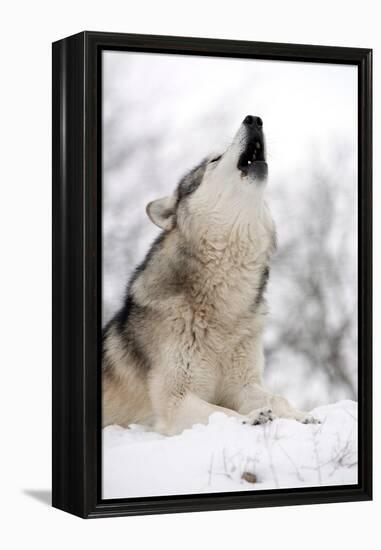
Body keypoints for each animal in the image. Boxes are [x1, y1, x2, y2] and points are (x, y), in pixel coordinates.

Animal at [101, 115, 318, 436]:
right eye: (214, 159)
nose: (253, 119)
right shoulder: (176, 400)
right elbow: (221, 412)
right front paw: (252, 418)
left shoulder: (243, 384)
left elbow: (277, 398)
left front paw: (303, 416)